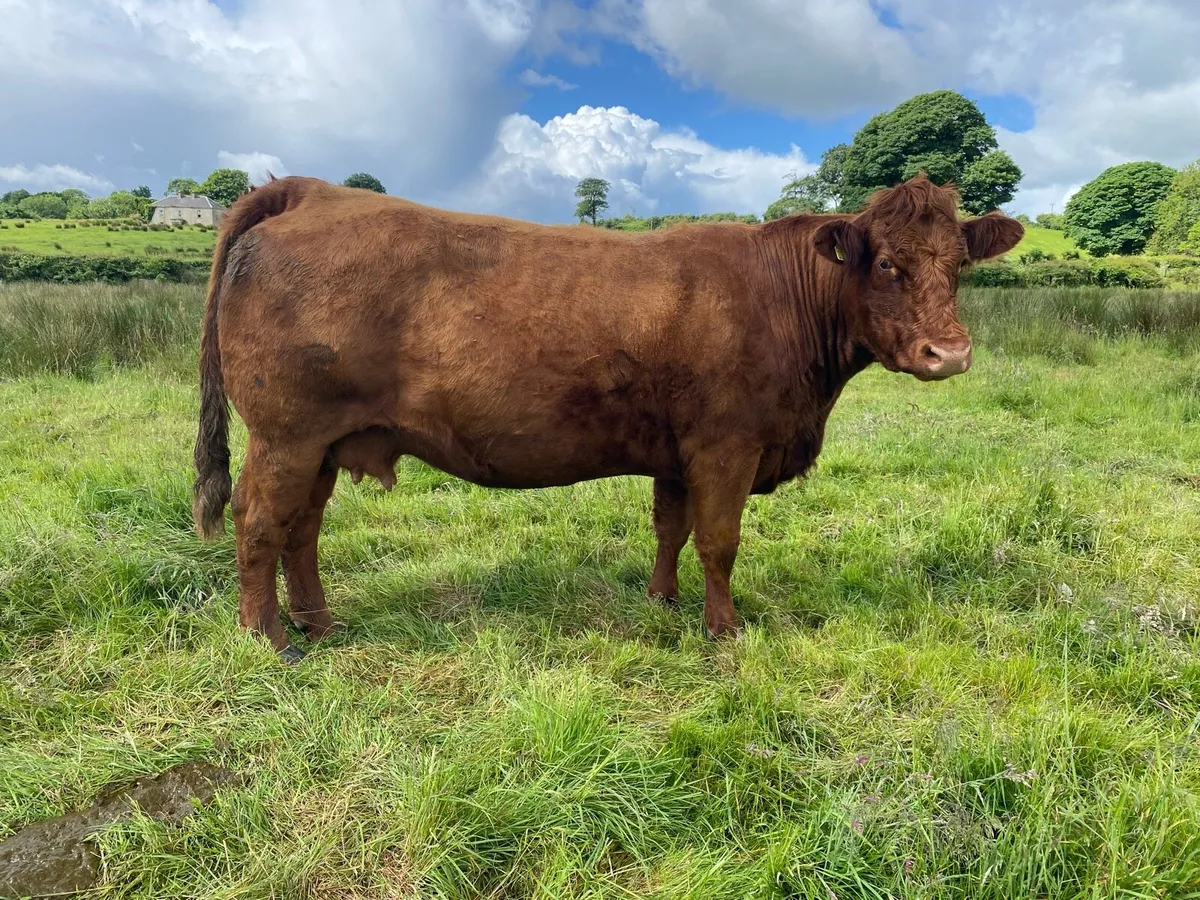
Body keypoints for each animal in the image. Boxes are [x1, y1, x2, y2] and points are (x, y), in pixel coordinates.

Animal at [192, 174, 1023, 660]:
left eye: (960, 264)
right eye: (885, 263)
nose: (949, 353)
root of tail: (311, 190)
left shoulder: (677, 451)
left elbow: (671, 529)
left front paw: (662, 601)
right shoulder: (728, 445)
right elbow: (720, 541)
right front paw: (724, 631)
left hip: (325, 442)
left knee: (301, 527)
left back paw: (318, 621)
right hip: (286, 434)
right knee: (260, 521)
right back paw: (267, 638)